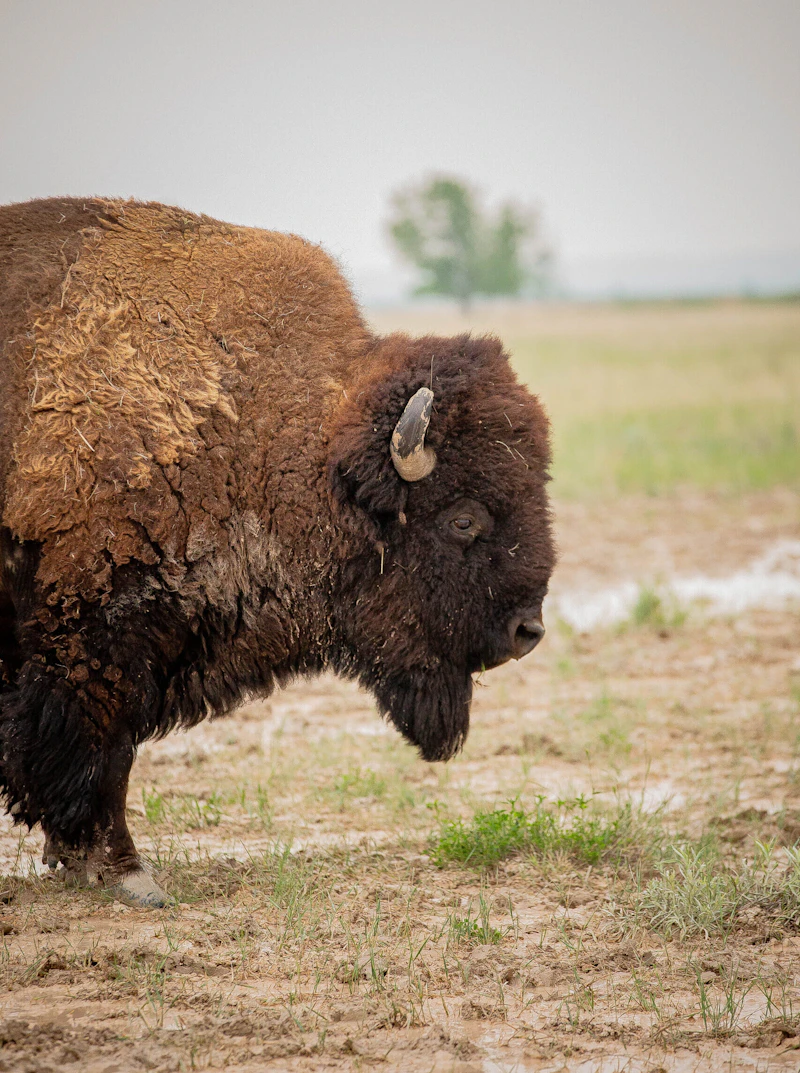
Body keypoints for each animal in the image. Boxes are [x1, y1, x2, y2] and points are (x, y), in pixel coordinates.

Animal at [0, 198, 554, 907]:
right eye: (463, 519)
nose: (527, 630)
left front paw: (75, 857)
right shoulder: (99, 635)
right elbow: (105, 747)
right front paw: (126, 871)